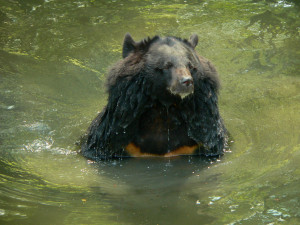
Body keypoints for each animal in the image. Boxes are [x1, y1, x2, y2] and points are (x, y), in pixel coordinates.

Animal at [81, 33, 229, 160]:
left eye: (191, 66)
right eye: (167, 66)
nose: (187, 81)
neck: (164, 108)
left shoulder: (201, 137)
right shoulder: (113, 137)